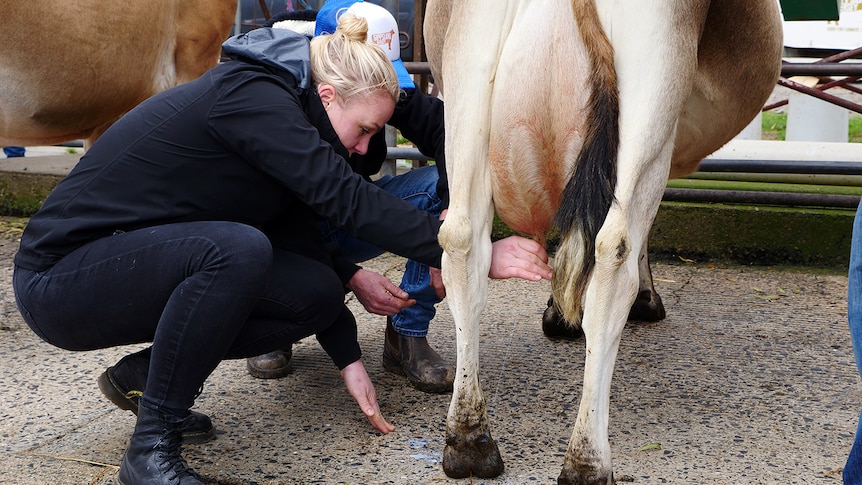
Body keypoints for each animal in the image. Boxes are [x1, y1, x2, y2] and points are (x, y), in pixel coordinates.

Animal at [424, 0, 784, 480]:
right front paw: (643, 300)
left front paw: (559, 312)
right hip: (649, 109)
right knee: (614, 252)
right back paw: (587, 462)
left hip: (465, 91)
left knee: (462, 241)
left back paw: (469, 441)